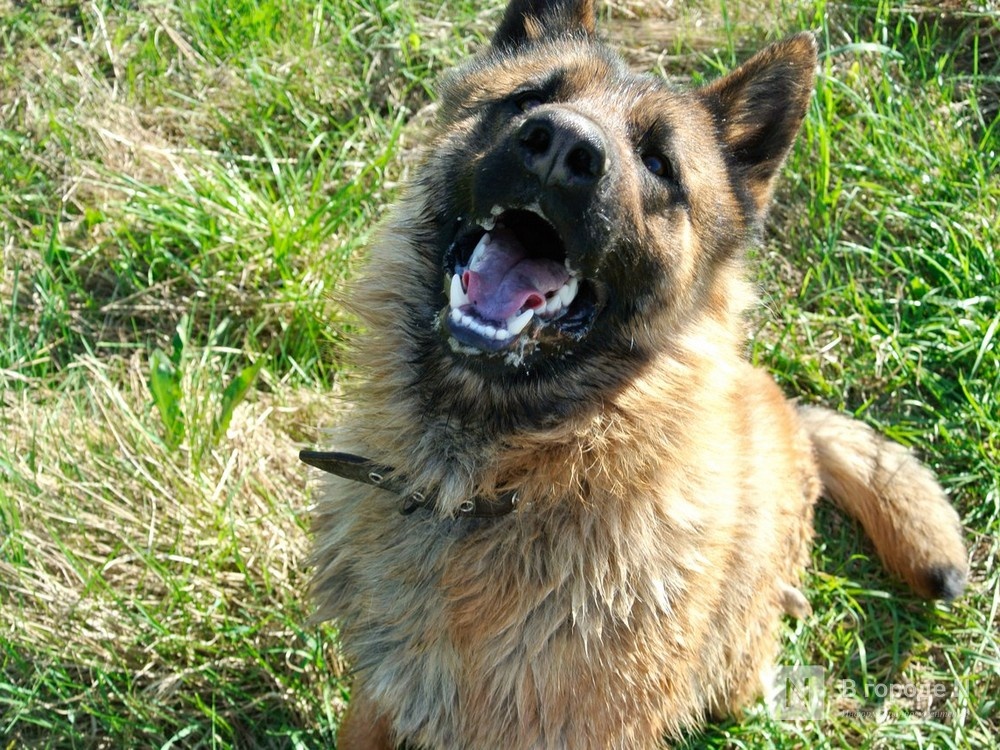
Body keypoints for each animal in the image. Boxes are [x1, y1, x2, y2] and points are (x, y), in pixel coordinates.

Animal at [304, 2, 968, 748]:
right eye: (527, 100)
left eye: (659, 163)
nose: (561, 146)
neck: (485, 485)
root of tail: (787, 410)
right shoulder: (378, 702)